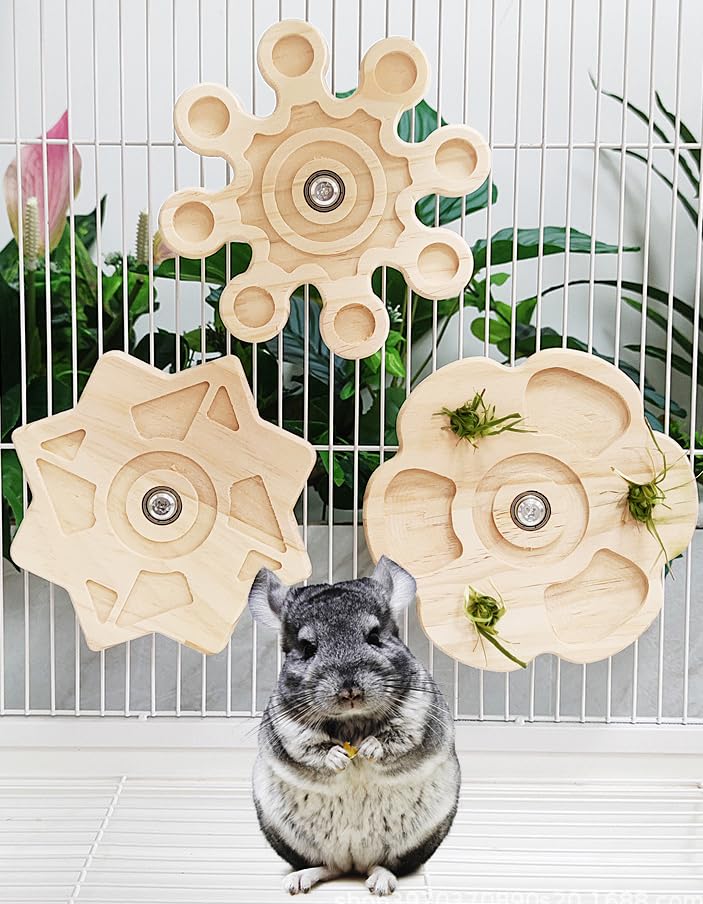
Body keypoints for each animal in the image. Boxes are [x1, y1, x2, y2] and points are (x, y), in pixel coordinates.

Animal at [248, 556, 460, 896]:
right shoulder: (288, 729)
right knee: (328, 867)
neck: (352, 723)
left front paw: (370, 748)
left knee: (385, 864)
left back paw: (381, 883)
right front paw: (338, 757)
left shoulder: (418, 716)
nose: (350, 691)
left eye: (374, 636)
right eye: (307, 648)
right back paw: (300, 880)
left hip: (412, 845)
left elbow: (396, 739)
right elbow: (310, 749)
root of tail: (354, 862)